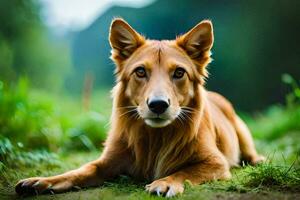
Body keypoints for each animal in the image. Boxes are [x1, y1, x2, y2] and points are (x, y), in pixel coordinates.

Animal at [15, 18, 264, 197]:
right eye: (141, 71)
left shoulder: (215, 163)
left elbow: (183, 171)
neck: (155, 137)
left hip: (242, 132)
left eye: (179, 73)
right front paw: (42, 181)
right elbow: (79, 171)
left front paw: (165, 182)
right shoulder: (106, 162)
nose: (158, 105)